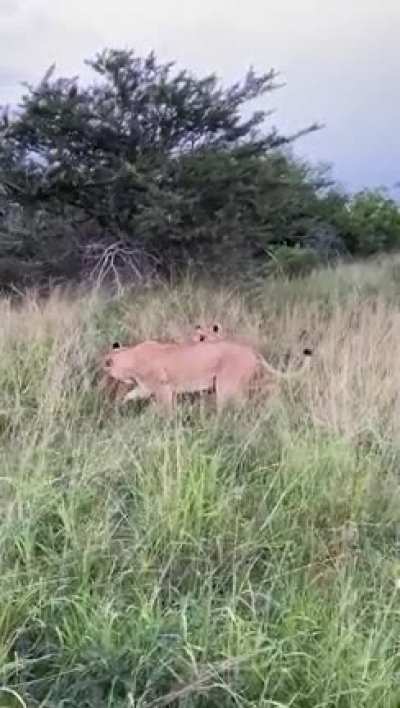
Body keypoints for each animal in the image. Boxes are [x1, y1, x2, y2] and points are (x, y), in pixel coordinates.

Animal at [102, 336, 312, 412]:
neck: (131, 357)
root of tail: (251, 350)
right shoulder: (145, 388)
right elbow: (131, 395)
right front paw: (119, 406)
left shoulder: (163, 390)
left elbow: (165, 410)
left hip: (226, 386)